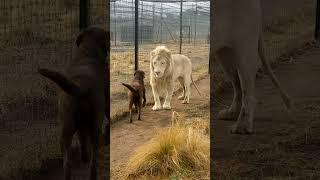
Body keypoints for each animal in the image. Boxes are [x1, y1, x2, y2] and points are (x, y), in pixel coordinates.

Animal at [37, 26, 109, 180]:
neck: (87, 53)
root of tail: (81, 85)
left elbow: (82, 138)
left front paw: (84, 155)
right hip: (94, 125)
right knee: (93, 162)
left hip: (66, 125)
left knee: (67, 163)